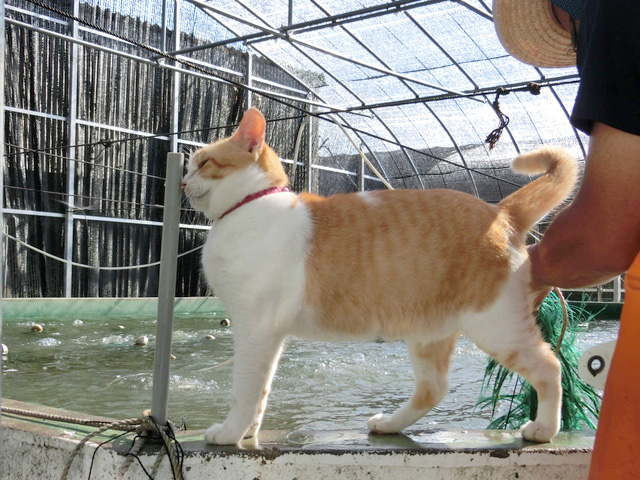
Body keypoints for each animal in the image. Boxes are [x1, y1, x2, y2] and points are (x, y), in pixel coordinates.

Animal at [182, 107, 576, 444]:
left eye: (203, 162)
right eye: (189, 166)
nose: (183, 180)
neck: (251, 205)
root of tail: (500, 211)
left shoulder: (255, 329)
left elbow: (244, 391)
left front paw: (231, 432)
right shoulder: (269, 338)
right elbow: (261, 391)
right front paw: (249, 432)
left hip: (496, 326)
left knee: (549, 366)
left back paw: (543, 428)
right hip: (430, 333)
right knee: (433, 389)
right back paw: (389, 424)